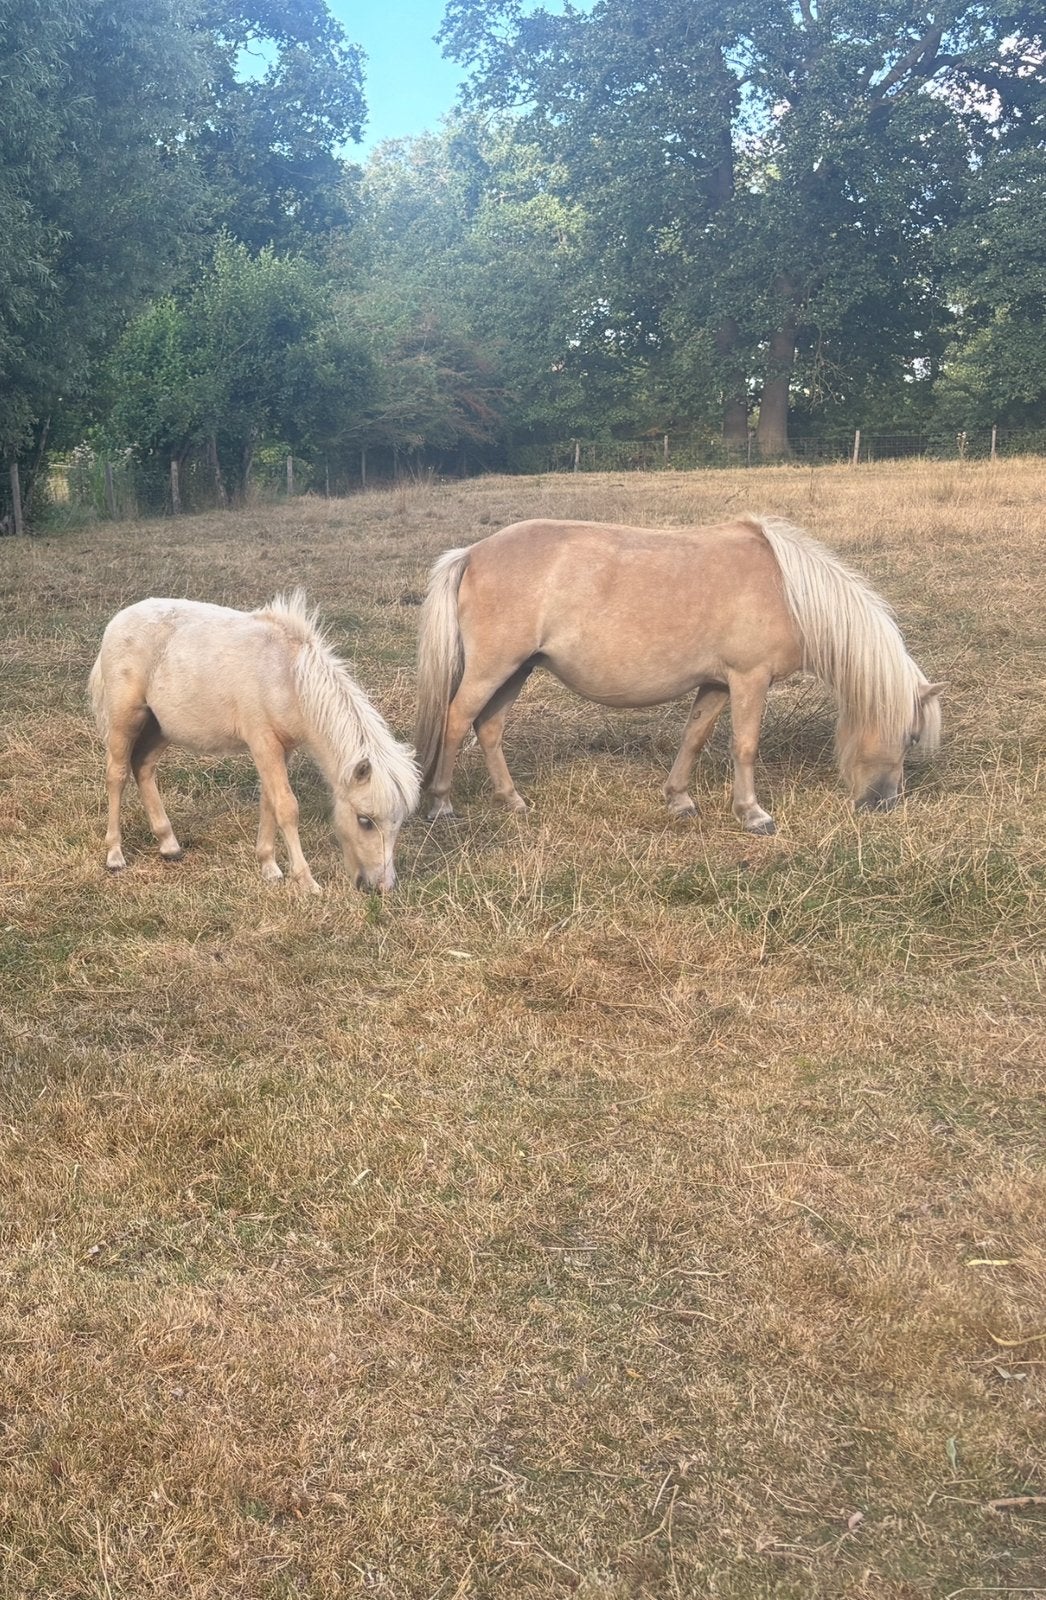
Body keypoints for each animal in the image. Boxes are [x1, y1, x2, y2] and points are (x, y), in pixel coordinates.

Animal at [89, 592, 420, 893]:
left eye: (399, 822)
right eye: (364, 820)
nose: (382, 887)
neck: (286, 677)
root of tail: (118, 620)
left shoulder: (281, 750)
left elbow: (269, 802)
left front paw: (269, 867)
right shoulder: (264, 743)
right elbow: (286, 806)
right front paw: (306, 881)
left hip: (160, 728)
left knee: (143, 767)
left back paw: (169, 845)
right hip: (125, 719)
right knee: (117, 774)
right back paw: (115, 855)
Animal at [415, 516, 943, 834]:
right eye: (910, 736)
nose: (884, 803)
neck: (788, 591)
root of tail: (471, 553)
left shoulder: (716, 683)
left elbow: (694, 738)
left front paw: (679, 800)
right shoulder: (749, 679)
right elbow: (744, 746)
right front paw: (753, 814)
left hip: (517, 672)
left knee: (489, 728)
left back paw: (513, 801)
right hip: (492, 668)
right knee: (457, 720)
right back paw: (442, 804)